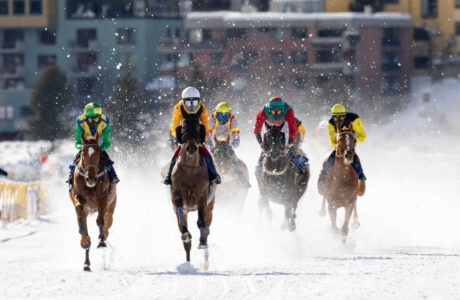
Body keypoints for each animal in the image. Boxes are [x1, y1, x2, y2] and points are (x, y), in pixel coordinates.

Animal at [69, 132, 117, 270]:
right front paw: (84, 240)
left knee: (106, 227)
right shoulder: (77, 196)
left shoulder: (103, 198)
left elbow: (100, 220)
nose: (91, 179)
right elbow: (79, 210)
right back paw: (86, 263)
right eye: (83, 151)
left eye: (98, 152)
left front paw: (101, 241)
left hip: (111, 208)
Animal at [171, 106, 216, 268]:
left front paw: (202, 242)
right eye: (183, 126)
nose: (191, 147)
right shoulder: (175, 192)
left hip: (210, 207)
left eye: (198, 126)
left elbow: (201, 222)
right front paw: (186, 233)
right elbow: (178, 203)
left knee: (207, 228)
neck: (190, 170)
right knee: (184, 235)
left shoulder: (202, 196)